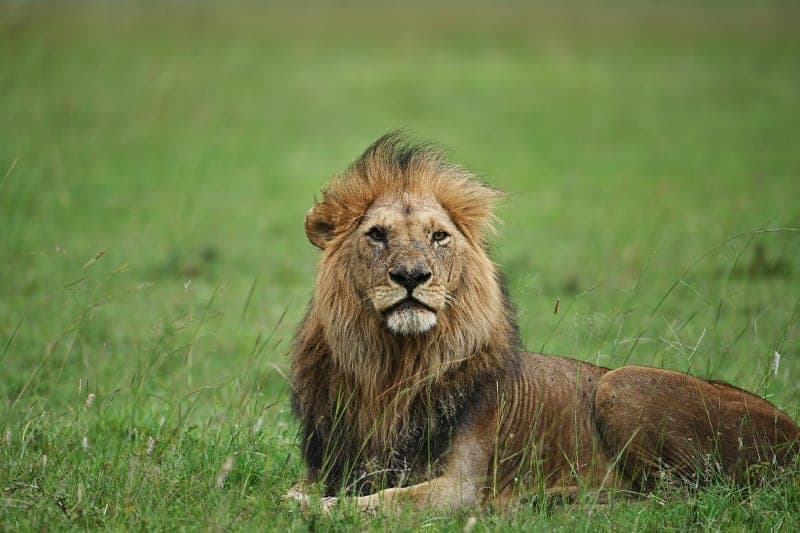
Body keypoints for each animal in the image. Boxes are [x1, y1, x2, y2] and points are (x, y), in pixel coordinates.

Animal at [287, 133, 799, 513]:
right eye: (376, 235)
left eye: (439, 237)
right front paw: (304, 499)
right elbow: (307, 487)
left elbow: (383, 500)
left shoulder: (459, 488)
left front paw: (320, 509)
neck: (394, 369)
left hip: (622, 383)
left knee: (679, 497)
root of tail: (794, 434)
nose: (412, 276)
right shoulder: (332, 462)